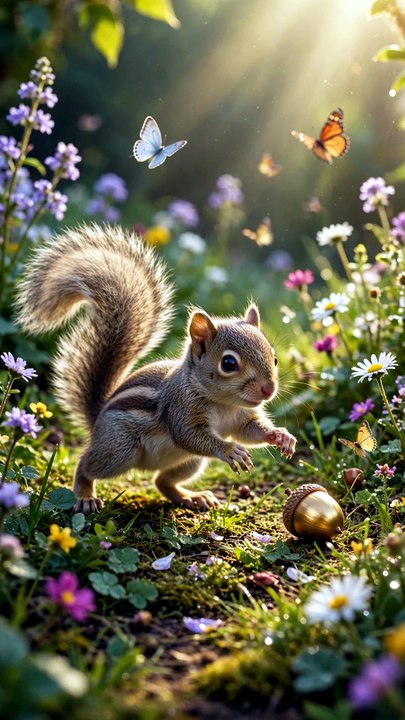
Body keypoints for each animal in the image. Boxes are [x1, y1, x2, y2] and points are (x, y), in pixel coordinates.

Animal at [16, 223, 297, 514]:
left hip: (190, 462)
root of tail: (97, 421)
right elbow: (190, 435)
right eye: (229, 363)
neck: (225, 404)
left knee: (162, 481)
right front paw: (231, 450)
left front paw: (281, 436)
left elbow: (251, 431)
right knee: (87, 464)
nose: (268, 389)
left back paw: (192, 497)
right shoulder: (180, 410)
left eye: (274, 358)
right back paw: (85, 496)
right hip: (119, 449)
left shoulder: (241, 418)